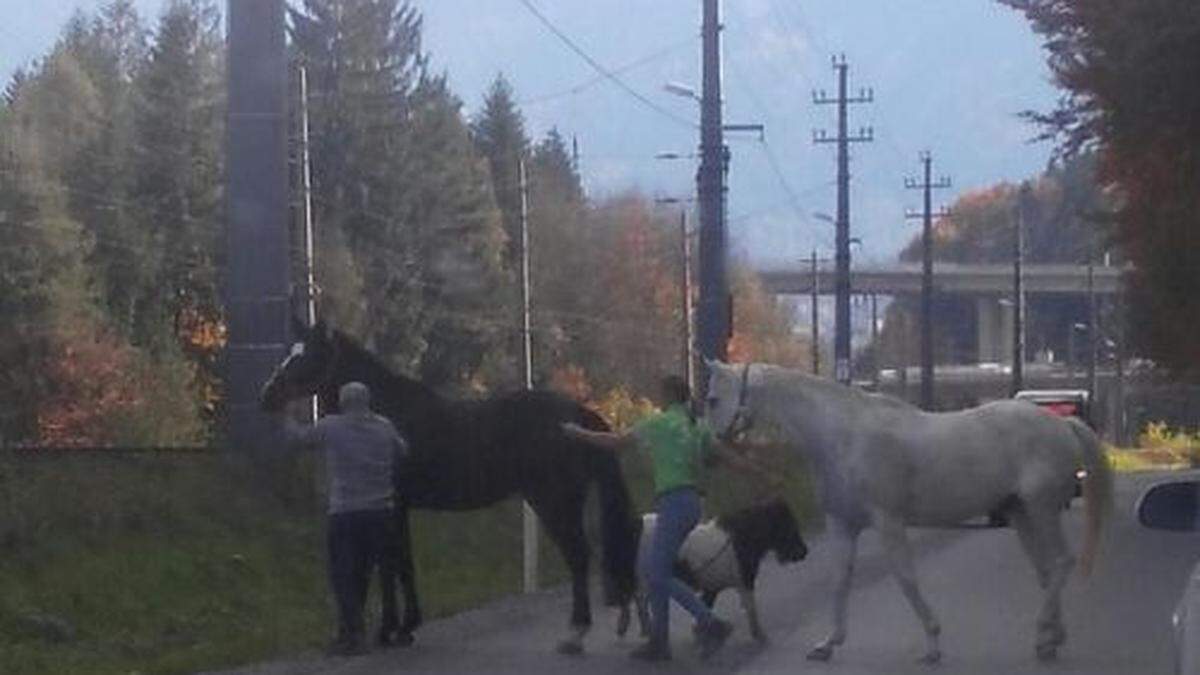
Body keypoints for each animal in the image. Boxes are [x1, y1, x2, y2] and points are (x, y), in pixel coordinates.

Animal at [259, 319, 643, 653]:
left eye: (307, 354)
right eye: (289, 351)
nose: (268, 396)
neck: (383, 411)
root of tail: (575, 413)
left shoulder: (391, 507)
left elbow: (390, 566)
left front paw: (390, 630)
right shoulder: (399, 510)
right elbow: (403, 564)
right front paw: (406, 627)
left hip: (554, 501)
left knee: (578, 556)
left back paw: (576, 632)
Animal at [700, 360, 1113, 658]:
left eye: (713, 399)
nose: (711, 449)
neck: (844, 436)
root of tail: (1063, 423)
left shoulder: (888, 522)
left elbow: (905, 578)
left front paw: (932, 643)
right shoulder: (843, 525)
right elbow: (840, 580)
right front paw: (828, 643)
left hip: (1041, 509)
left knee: (1060, 563)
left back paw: (1045, 636)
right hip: (1021, 513)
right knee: (1046, 571)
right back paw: (1051, 637)